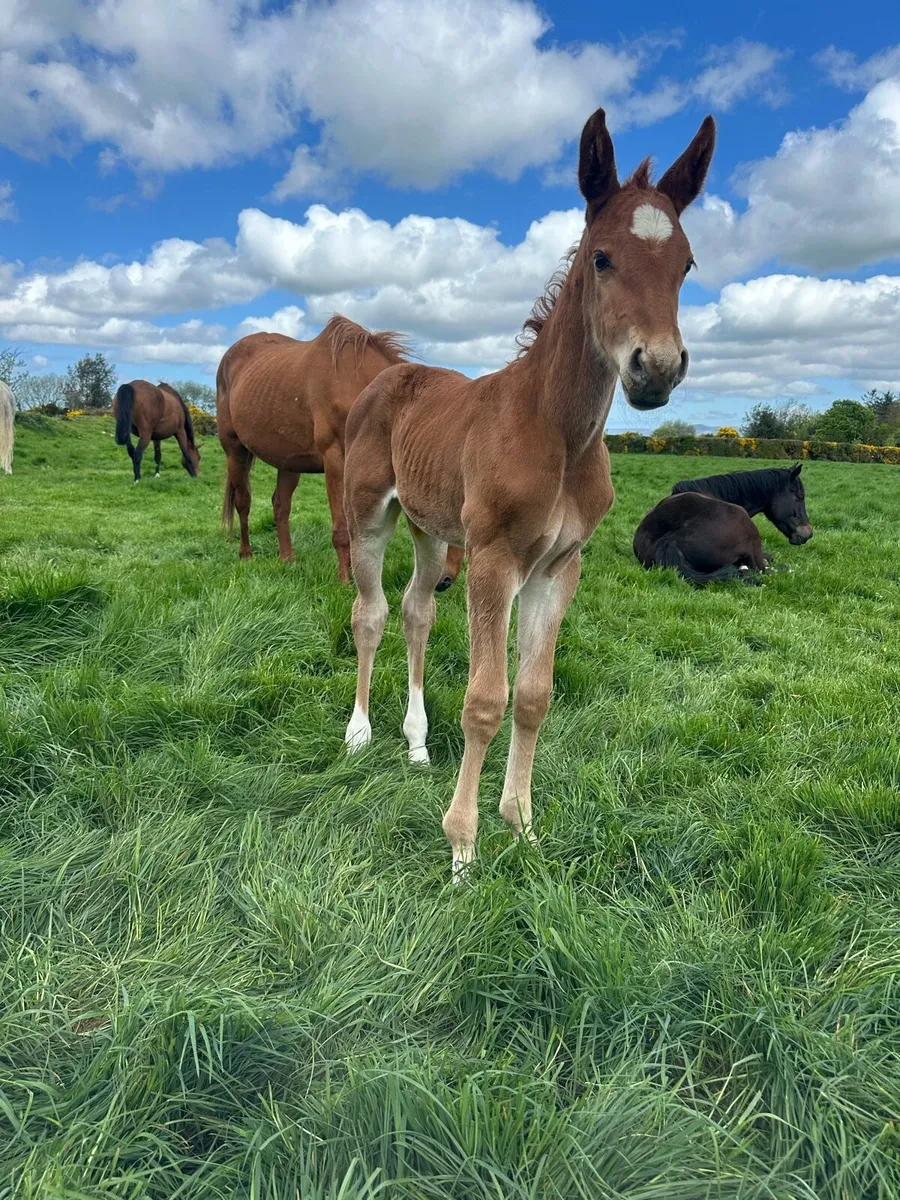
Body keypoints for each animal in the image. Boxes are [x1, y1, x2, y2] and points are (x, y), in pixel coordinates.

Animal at [216, 316, 464, 588]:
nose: (443, 580)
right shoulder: (335, 461)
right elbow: (343, 527)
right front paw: (346, 579)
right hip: (234, 451)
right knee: (243, 502)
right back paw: (246, 554)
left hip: (288, 462)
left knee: (280, 506)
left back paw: (287, 560)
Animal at [342, 105, 716, 877]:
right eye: (601, 258)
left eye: (687, 265)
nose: (658, 367)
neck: (558, 434)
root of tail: (388, 375)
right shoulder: (493, 559)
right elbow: (486, 699)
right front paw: (462, 846)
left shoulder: (556, 568)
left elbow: (535, 695)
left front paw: (522, 826)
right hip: (369, 517)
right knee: (371, 613)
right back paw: (359, 733)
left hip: (431, 529)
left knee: (418, 611)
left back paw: (416, 743)